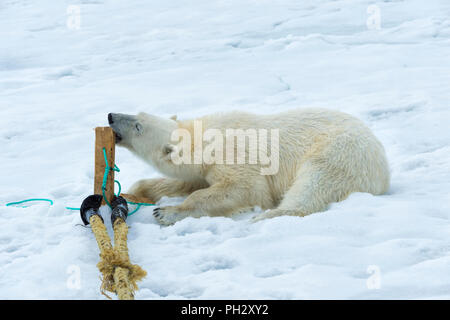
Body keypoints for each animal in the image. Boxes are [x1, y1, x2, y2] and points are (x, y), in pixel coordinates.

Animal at [107, 108, 388, 225]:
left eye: (138, 126)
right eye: (138, 113)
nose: (110, 116)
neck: (205, 138)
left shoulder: (235, 155)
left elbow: (244, 188)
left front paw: (166, 212)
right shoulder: (205, 167)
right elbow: (188, 180)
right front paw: (134, 191)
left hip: (339, 151)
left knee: (315, 182)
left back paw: (267, 216)